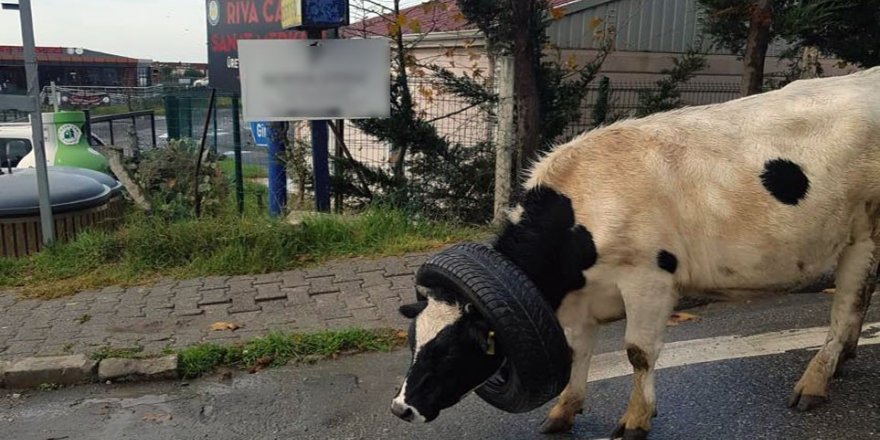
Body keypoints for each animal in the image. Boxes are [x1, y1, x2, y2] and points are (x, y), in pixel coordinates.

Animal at [392, 66, 880, 440]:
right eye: (414, 340)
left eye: (449, 350)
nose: (401, 408)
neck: (579, 210)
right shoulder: (581, 298)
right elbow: (578, 351)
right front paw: (563, 411)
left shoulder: (648, 279)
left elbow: (638, 353)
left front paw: (635, 420)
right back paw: (844, 358)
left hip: (864, 232)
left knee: (846, 306)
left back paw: (816, 379)